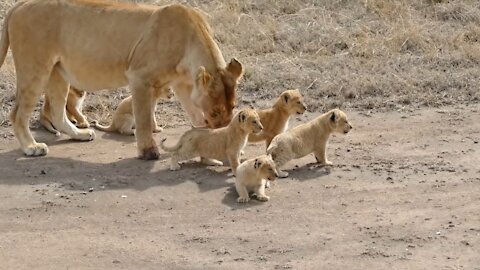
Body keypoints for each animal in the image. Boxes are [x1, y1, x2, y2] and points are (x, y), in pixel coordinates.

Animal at [0, 0, 242, 159]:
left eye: (233, 107)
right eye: (215, 112)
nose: (222, 130)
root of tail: (19, 5)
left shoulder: (181, 84)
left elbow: (192, 110)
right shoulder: (139, 77)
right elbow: (143, 118)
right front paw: (148, 151)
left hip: (57, 72)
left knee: (58, 111)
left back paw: (79, 134)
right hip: (35, 68)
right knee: (18, 113)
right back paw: (31, 147)